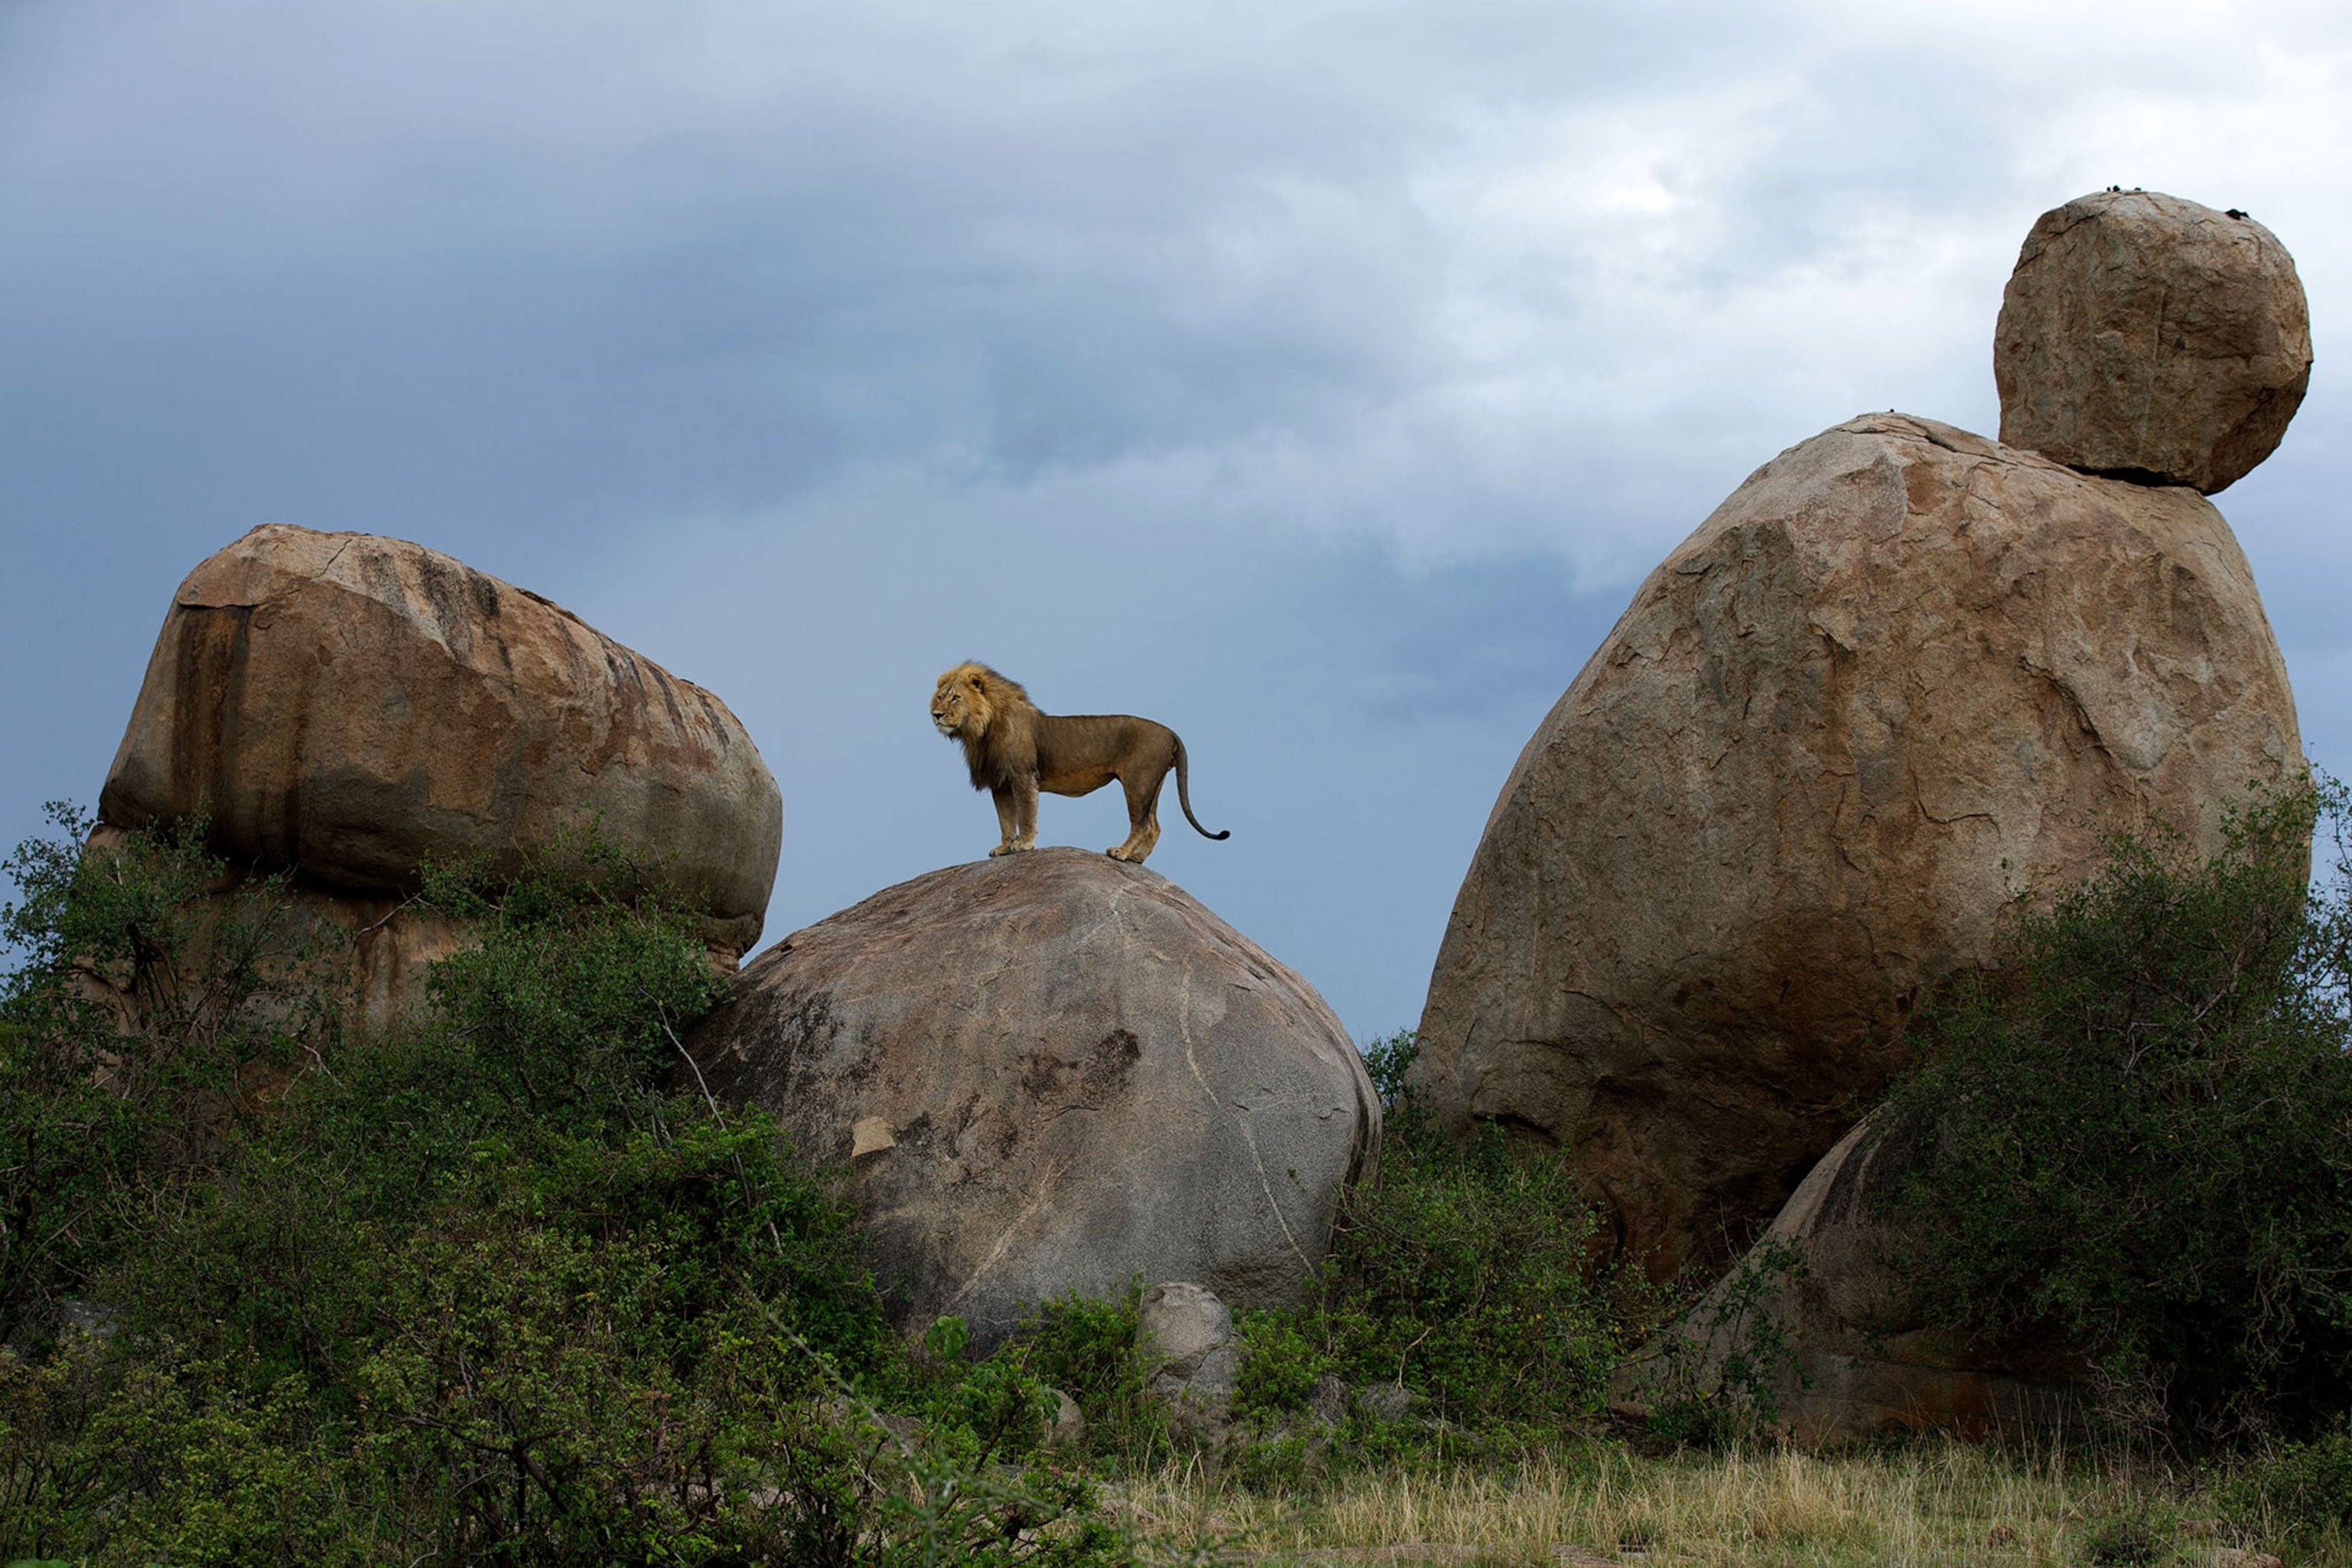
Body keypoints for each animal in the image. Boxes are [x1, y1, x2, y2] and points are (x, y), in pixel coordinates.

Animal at [930, 662, 1230, 865]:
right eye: (940, 696)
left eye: (955, 697)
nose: (936, 715)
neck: (981, 731)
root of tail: (1171, 733)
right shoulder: (1000, 783)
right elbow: (1005, 820)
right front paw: (1004, 847)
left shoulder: (1023, 776)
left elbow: (1026, 814)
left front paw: (1024, 844)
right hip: (1152, 786)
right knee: (1154, 826)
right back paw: (1136, 858)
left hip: (1138, 782)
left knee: (1141, 824)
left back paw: (1121, 853)